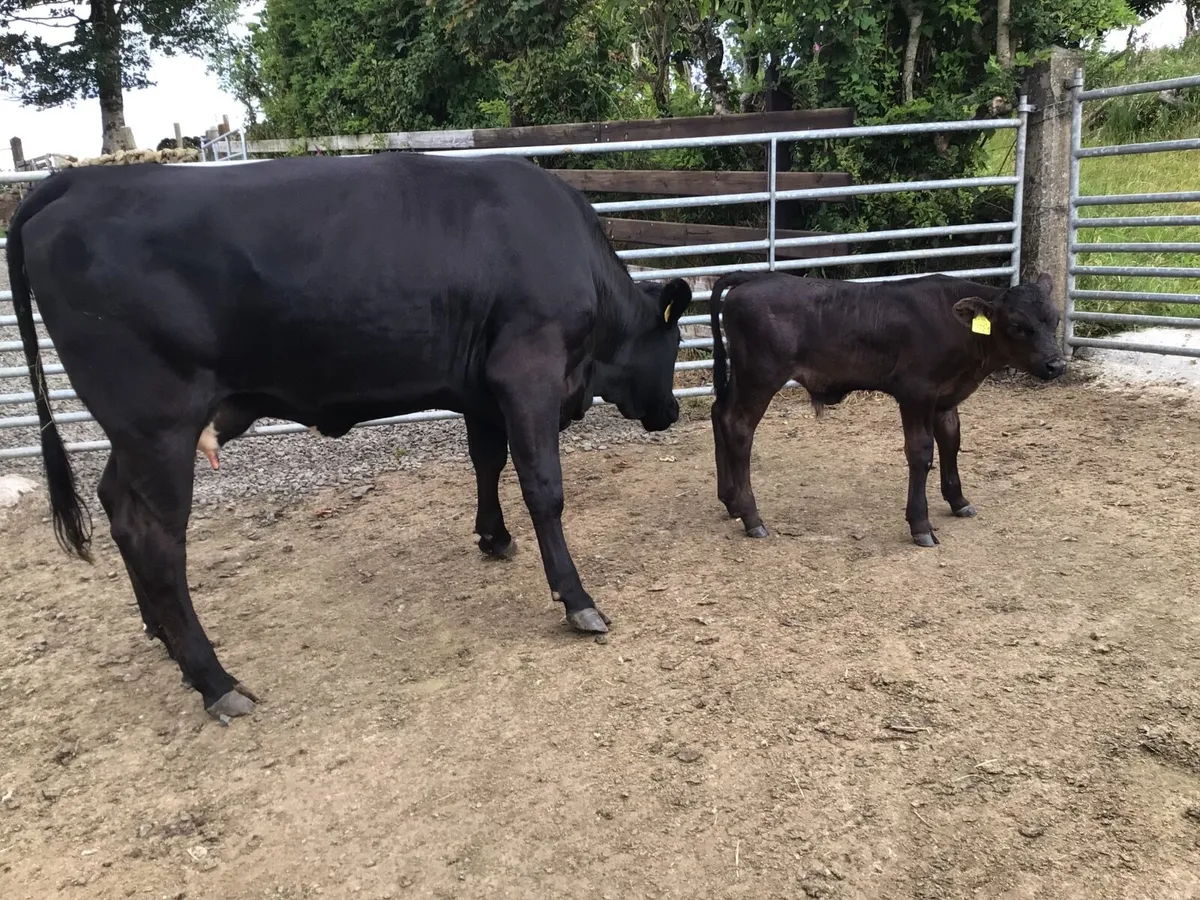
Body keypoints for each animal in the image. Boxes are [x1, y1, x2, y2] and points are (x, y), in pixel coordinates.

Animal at [7, 152, 693, 719]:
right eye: (675, 340)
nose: (672, 413)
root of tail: (77, 182)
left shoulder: (481, 387)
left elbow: (486, 462)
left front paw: (493, 538)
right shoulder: (528, 372)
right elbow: (543, 488)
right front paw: (577, 598)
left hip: (137, 435)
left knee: (117, 507)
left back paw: (161, 635)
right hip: (159, 424)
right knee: (154, 538)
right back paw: (213, 679)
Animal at [708, 270, 1067, 546]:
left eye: (1055, 320)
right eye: (1017, 326)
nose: (1057, 364)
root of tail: (757, 277)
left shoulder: (945, 398)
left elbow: (951, 442)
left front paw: (958, 501)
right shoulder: (916, 393)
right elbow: (921, 453)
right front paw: (921, 525)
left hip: (743, 375)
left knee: (719, 412)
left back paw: (731, 501)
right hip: (761, 376)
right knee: (739, 427)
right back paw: (752, 517)